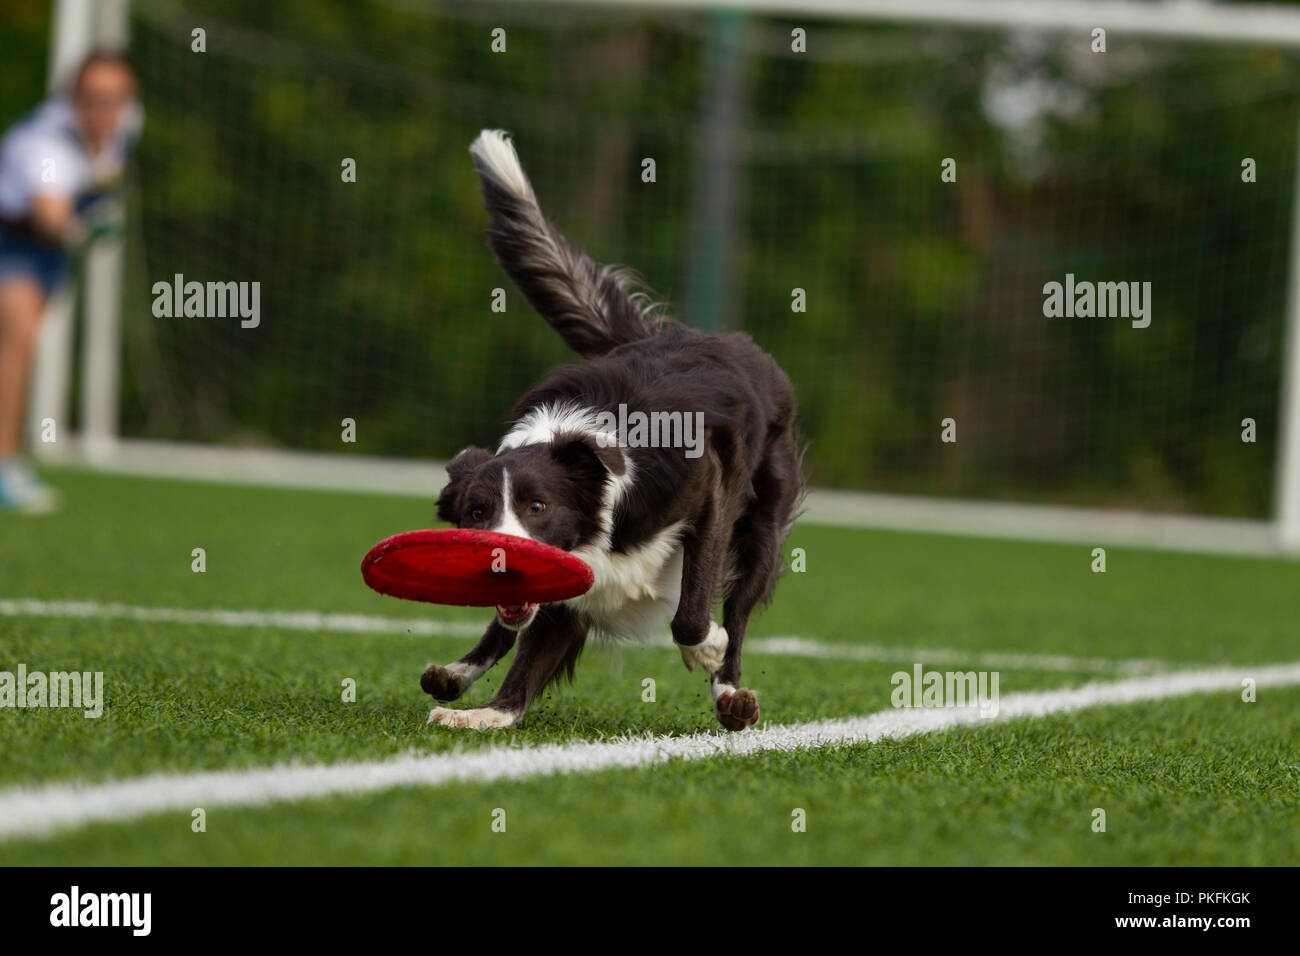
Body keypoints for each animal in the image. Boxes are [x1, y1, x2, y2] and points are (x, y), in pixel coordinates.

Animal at [421, 130, 795, 733]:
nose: (502, 562)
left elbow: (693, 608)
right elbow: (529, 652)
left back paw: (730, 690)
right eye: (477, 513)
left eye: (538, 507)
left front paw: (705, 646)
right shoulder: (567, 582)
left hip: (764, 516)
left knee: (739, 605)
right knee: (504, 630)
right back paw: (455, 674)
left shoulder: (707, 486)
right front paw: (486, 714)